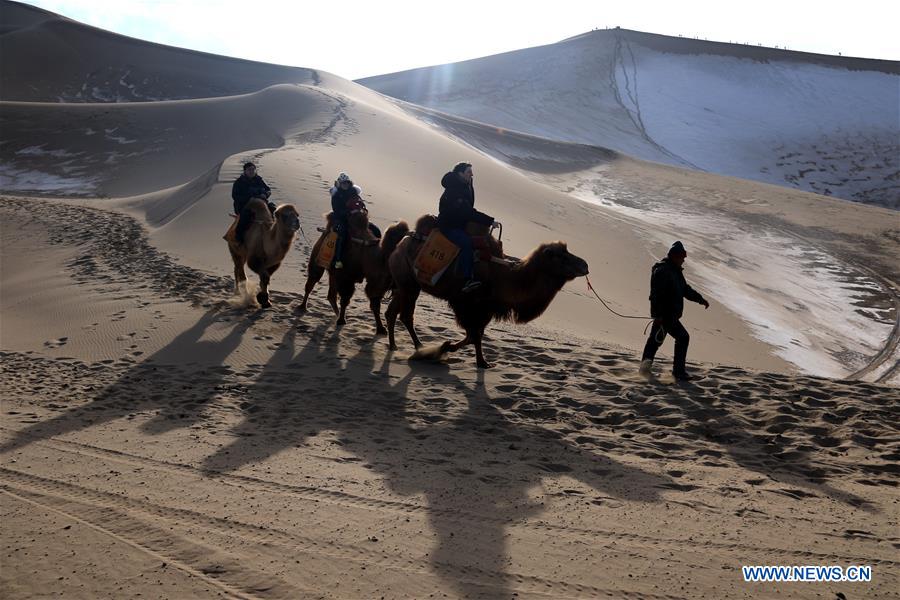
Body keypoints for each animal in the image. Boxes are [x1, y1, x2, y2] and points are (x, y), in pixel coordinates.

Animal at [386, 213, 592, 368]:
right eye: (562, 257)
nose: (585, 265)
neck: (505, 277)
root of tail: (403, 239)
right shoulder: (467, 305)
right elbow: (474, 335)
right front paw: (446, 348)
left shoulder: (485, 309)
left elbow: (476, 335)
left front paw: (478, 360)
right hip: (409, 284)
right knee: (406, 315)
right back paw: (419, 348)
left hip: (405, 284)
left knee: (392, 312)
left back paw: (395, 345)